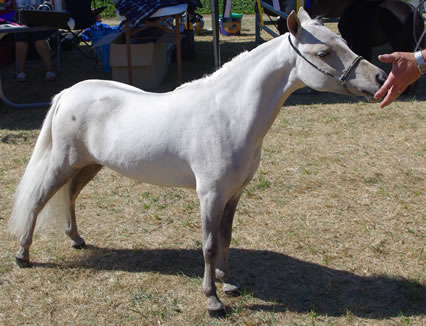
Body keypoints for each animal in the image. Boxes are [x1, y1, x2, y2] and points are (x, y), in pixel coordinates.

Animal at [10, 8, 386, 316]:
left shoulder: (234, 193)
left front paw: (229, 283)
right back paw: (23, 255)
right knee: (38, 200)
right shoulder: (210, 194)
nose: (381, 79)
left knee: (70, 196)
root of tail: (68, 93)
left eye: (343, 41)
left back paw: (76, 238)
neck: (229, 113)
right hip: (63, 162)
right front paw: (213, 300)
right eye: (323, 53)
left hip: (88, 165)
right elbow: (208, 245)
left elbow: (226, 237)